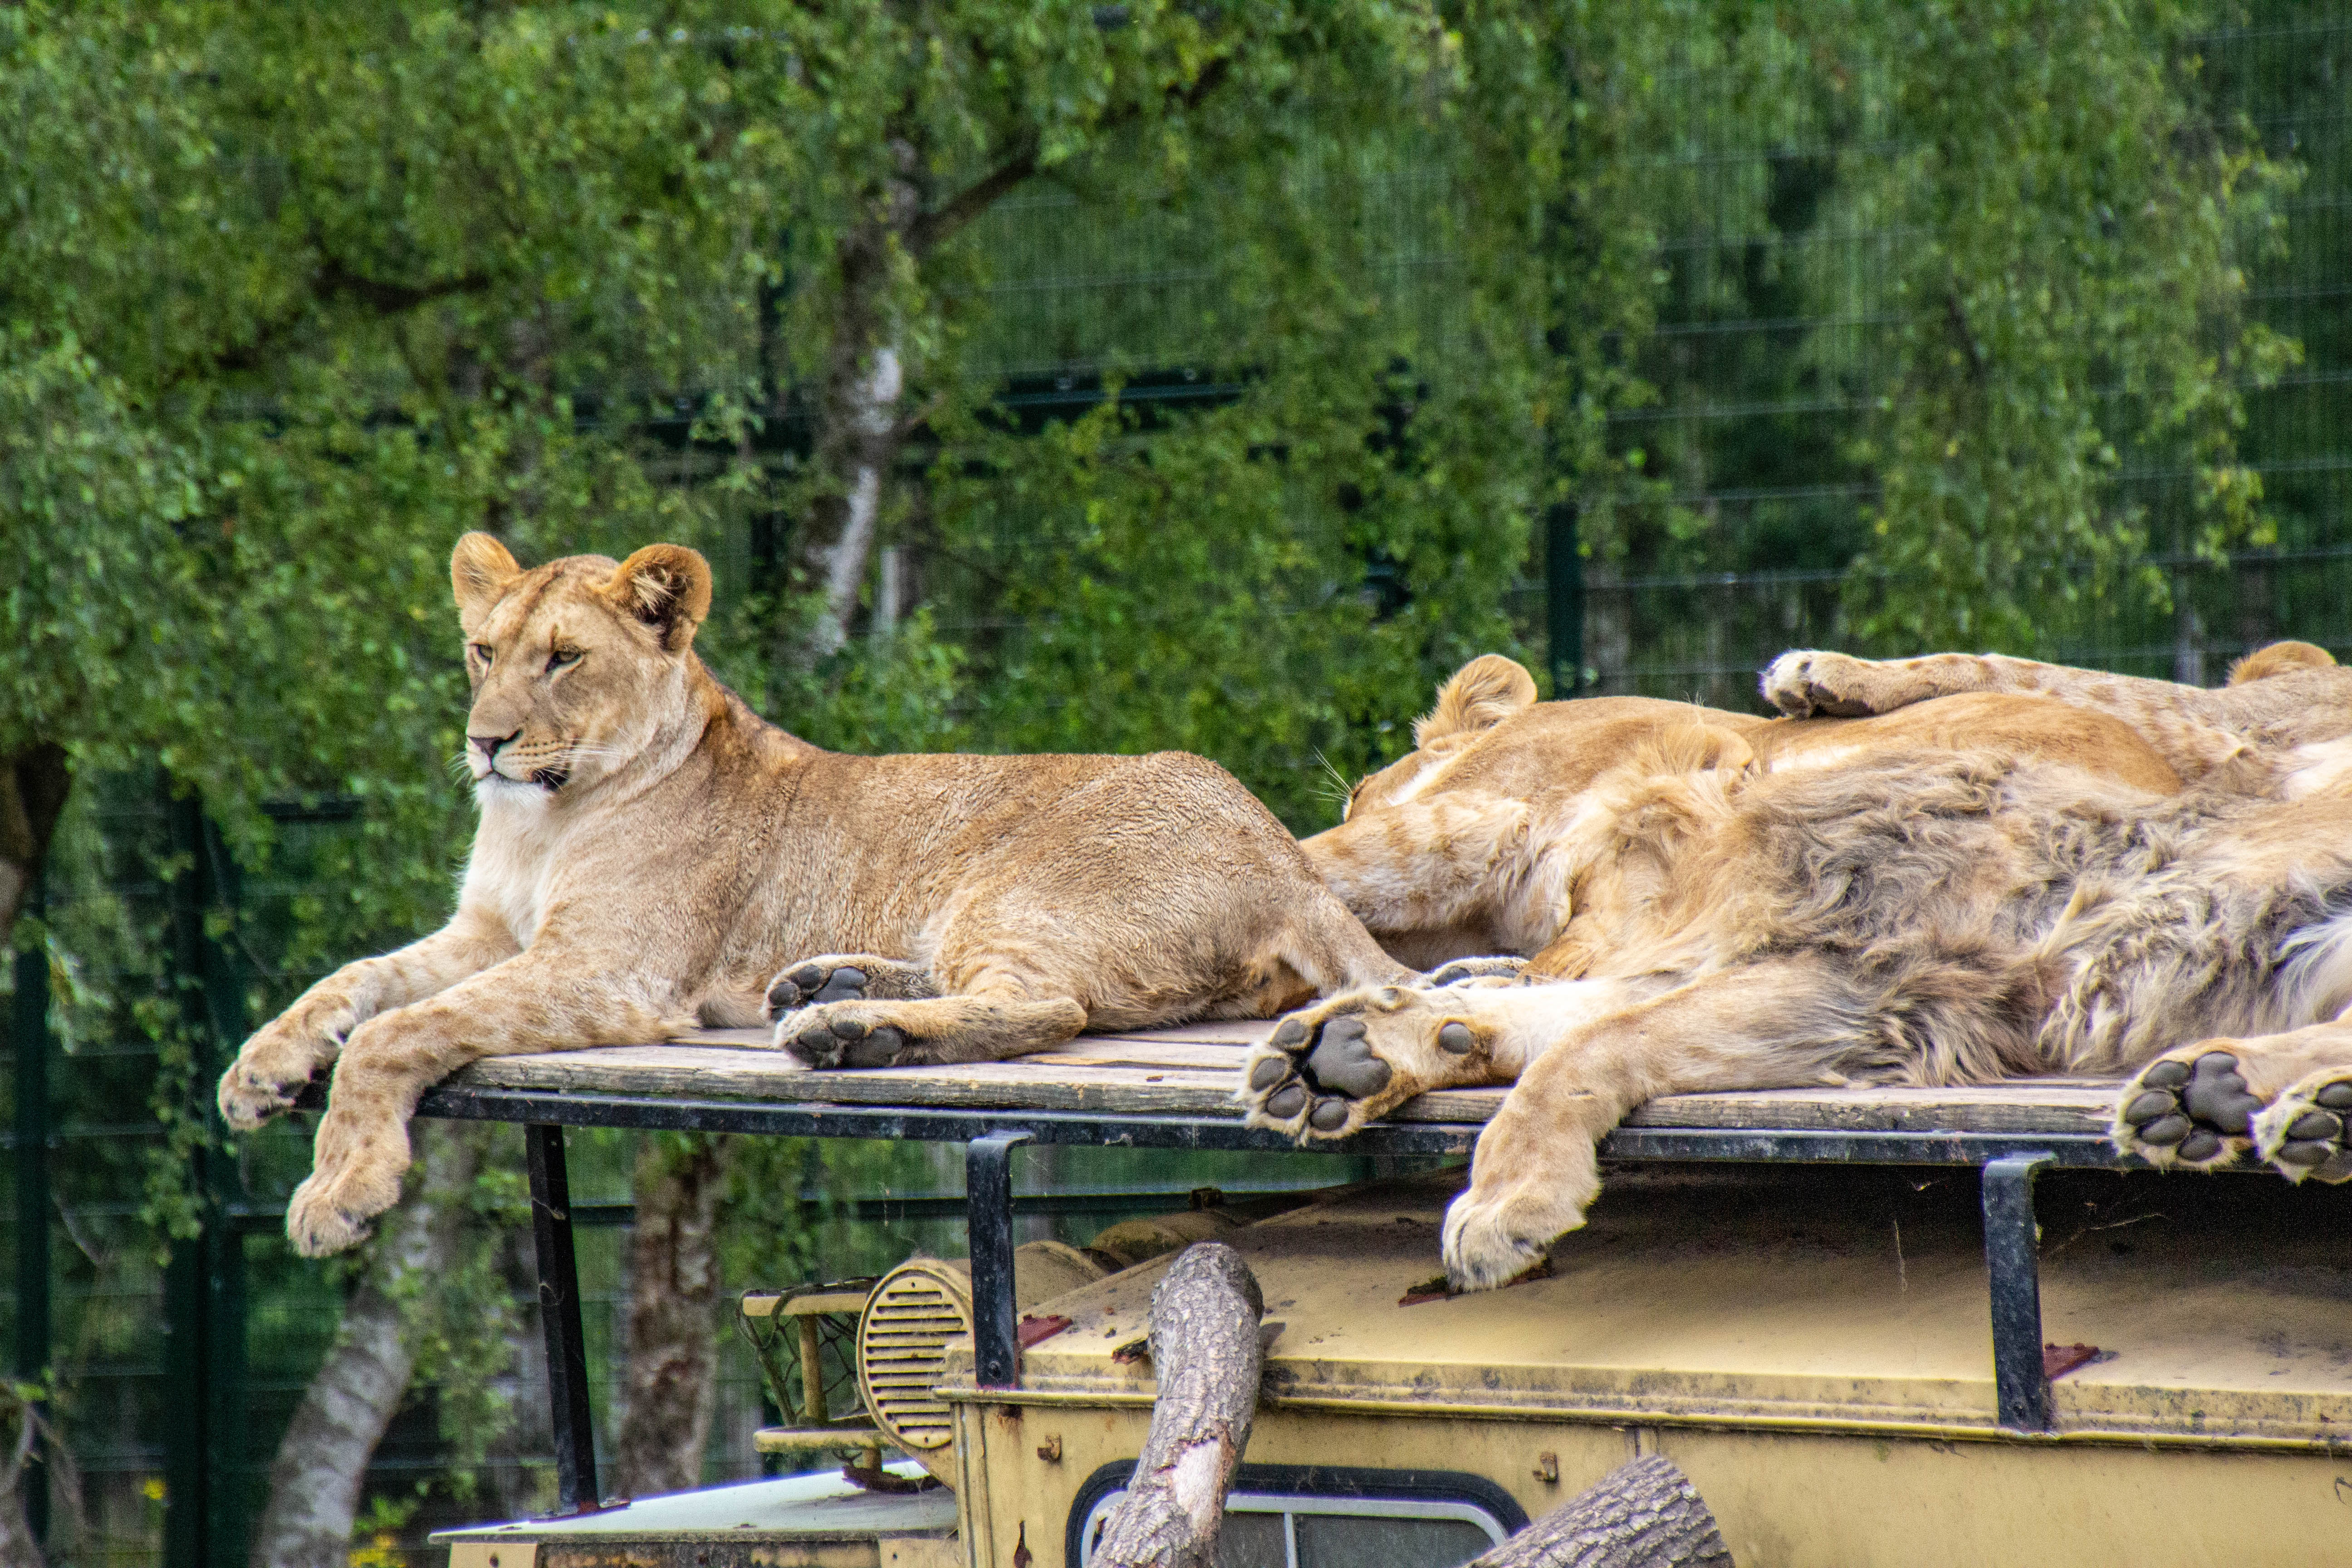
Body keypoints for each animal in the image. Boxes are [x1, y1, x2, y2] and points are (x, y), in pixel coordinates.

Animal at [218, 534, 1412, 1257]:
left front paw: (339, 1188)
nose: (485, 741)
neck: (539, 821)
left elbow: (398, 1032)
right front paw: (258, 1070)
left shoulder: (607, 968)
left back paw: (845, 1032)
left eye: (562, 659)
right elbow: (356, 979)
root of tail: (1284, 855)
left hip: (1010, 882)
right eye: (482, 650)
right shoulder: (485, 932)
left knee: (1046, 1006)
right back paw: (829, 989)